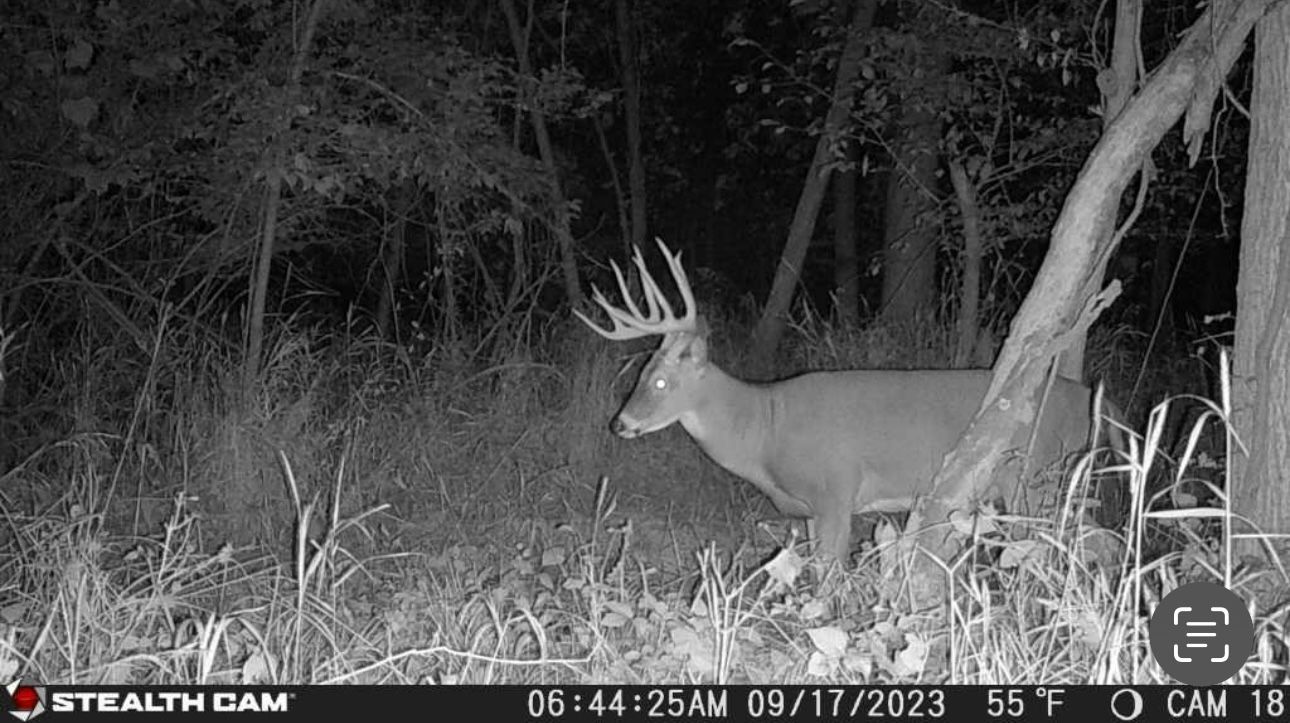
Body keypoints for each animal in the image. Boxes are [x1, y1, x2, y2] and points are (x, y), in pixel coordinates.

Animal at [575, 239, 1105, 561]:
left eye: (662, 382)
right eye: (640, 372)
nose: (620, 423)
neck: (764, 429)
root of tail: (1087, 396)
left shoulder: (836, 490)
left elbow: (828, 578)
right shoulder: (810, 509)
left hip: (1034, 474)